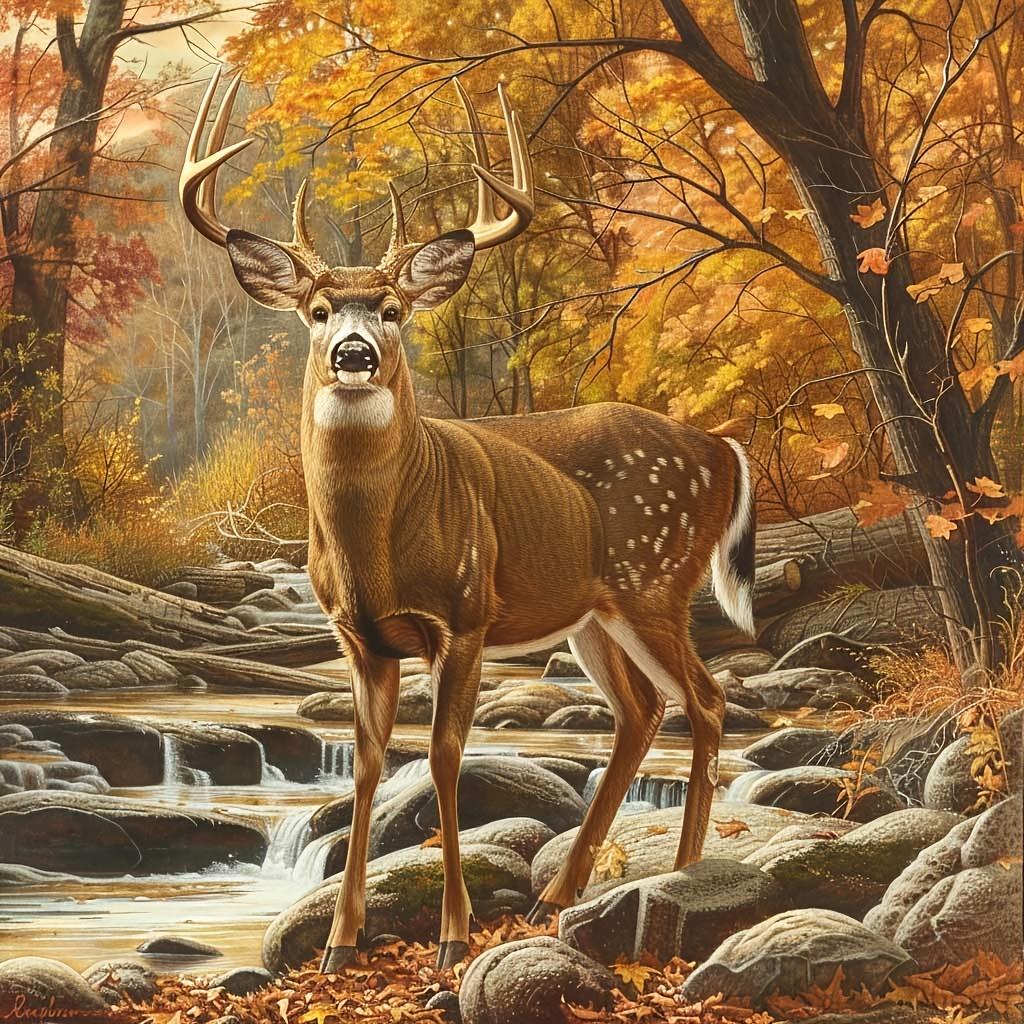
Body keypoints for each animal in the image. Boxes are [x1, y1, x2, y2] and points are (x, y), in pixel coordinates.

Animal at [180, 67, 756, 973]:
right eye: (317, 310)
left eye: (392, 309)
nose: (353, 355)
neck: (376, 548)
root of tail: (720, 448)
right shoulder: (358, 636)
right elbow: (368, 768)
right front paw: (340, 943)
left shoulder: (466, 613)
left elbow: (446, 758)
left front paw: (452, 936)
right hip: (593, 614)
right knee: (640, 712)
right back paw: (560, 894)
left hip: (655, 580)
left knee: (704, 697)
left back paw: (686, 871)